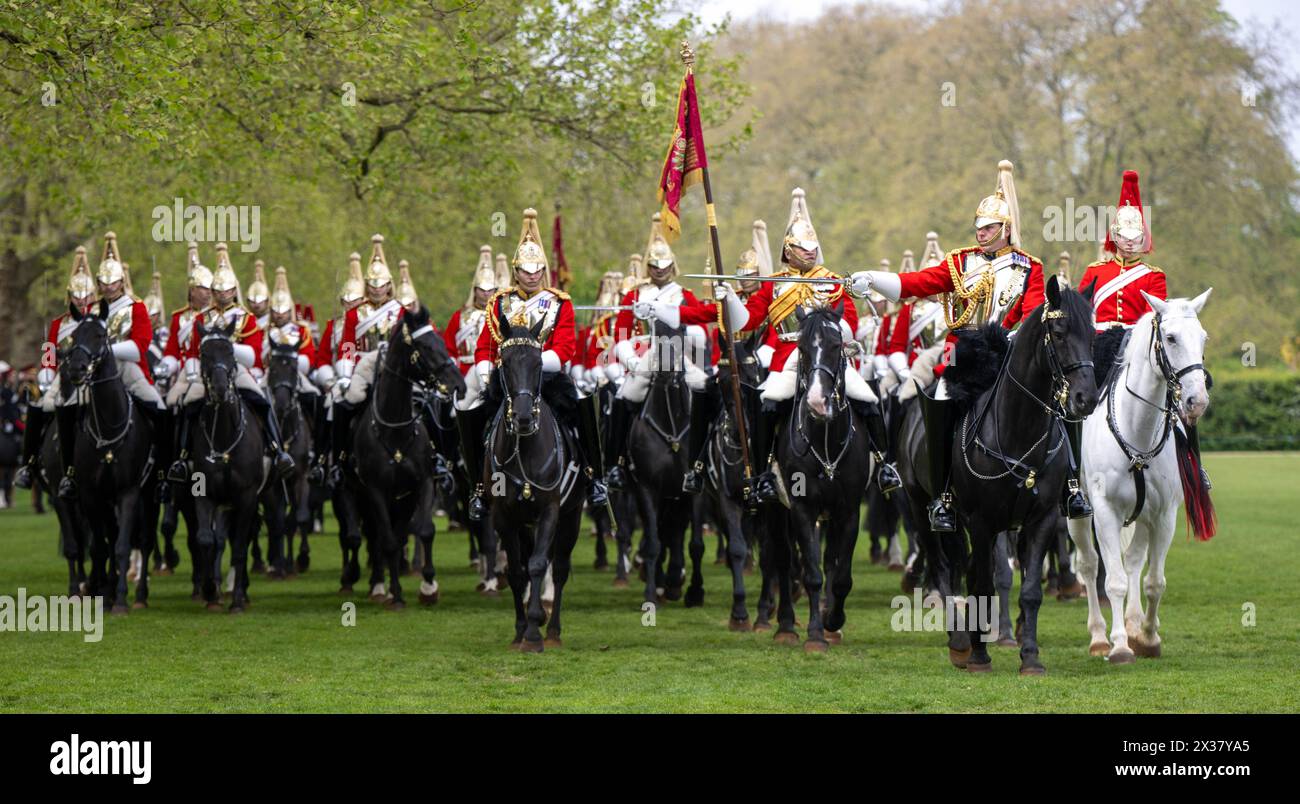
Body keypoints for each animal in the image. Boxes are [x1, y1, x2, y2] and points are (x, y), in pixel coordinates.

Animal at [60, 303, 158, 611]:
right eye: (75, 335)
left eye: (100, 335)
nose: (77, 369)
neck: (109, 426)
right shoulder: (91, 494)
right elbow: (100, 546)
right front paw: (104, 592)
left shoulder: (128, 492)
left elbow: (123, 545)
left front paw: (121, 600)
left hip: (148, 495)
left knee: (145, 540)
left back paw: (139, 595)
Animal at [348, 305, 465, 606]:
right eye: (425, 346)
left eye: (441, 341)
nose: (458, 385)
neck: (395, 431)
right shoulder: (376, 491)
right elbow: (387, 540)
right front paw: (397, 593)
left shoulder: (423, 484)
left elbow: (424, 530)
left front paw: (429, 586)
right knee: (375, 536)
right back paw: (378, 584)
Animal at [1066, 286, 1216, 658]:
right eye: (1171, 338)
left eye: (1203, 338)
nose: (1197, 401)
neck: (1138, 432)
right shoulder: (1105, 511)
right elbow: (1114, 580)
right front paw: (1120, 645)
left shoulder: (1163, 515)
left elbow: (1153, 581)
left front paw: (1147, 636)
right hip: (1077, 514)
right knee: (1089, 565)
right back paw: (1099, 636)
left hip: (1144, 515)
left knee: (1134, 560)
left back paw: (1133, 624)